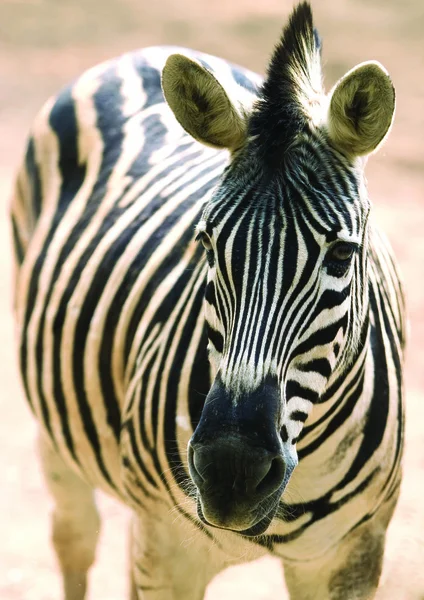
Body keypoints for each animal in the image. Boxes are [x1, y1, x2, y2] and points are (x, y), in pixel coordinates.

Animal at [11, 1, 406, 600]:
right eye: (206, 244)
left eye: (341, 255)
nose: (230, 471)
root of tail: (142, 51)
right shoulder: (169, 551)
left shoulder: (353, 555)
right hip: (59, 443)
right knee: (75, 540)